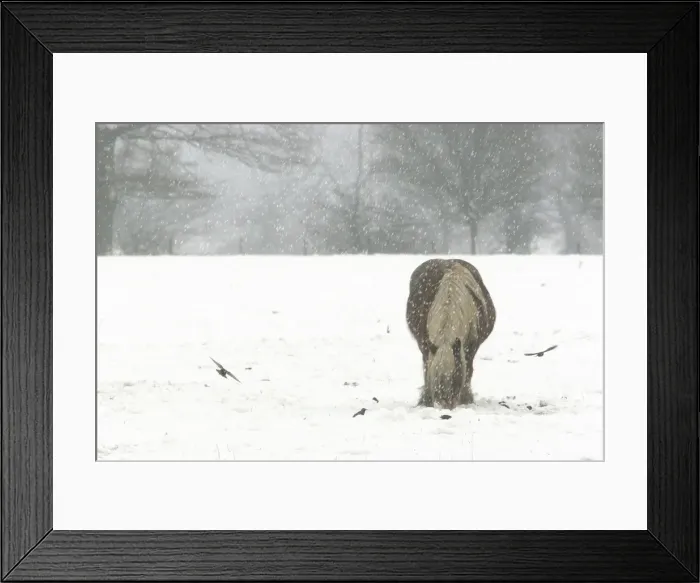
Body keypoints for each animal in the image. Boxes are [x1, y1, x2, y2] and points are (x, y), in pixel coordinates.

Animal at [405, 258, 496, 409]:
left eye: (455, 376)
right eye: (436, 379)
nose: (446, 406)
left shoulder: (471, 347)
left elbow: (468, 369)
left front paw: (466, 399)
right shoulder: (425, 344)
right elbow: (427, 368)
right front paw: (426, 400)